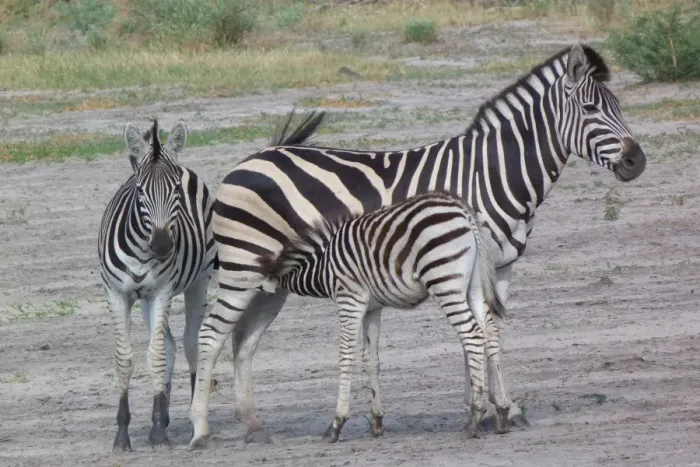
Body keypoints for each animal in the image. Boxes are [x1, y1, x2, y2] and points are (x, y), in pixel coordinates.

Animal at [99, 110, 325, 452]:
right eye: (139, 190)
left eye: (175, 192)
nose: (162, 246)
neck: (141, 248)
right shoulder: (117, 293)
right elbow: (127, 359)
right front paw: (123, 434)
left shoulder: (161, 291)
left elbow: (156, 356)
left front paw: (158, 433)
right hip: (147, 298)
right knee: (170, 344)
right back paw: (165, 414)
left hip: (198, 281)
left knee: (191, 343)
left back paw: (191, 416)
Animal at [258, 191, 508, 442]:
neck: (323, 267)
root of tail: (462, 209)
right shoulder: (372, 308)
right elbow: (371, 359)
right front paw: (377, 421)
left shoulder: (350, 300)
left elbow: (345, 356)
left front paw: (337, 423)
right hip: (474, 284)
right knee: (490, 332)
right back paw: (502, 411)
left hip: (444, 280)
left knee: (472, 334)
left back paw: (474, 418)